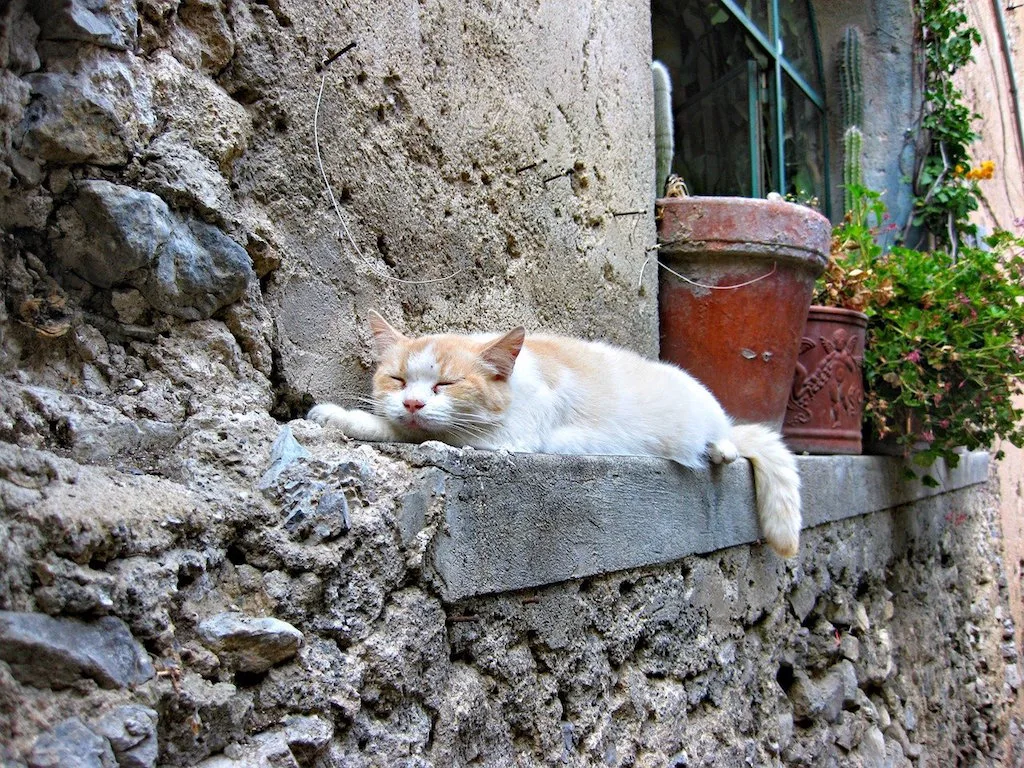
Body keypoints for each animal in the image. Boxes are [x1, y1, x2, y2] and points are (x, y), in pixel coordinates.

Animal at [307, 313, 802, 561]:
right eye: (396, 379)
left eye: (445, 385)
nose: (411, 403)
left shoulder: (507, 438)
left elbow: (418, 433)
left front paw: (344, 417)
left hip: (707, 410)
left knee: (730, 435)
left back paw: (720, 448)